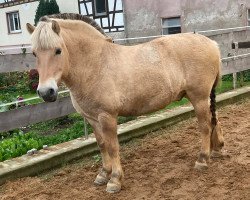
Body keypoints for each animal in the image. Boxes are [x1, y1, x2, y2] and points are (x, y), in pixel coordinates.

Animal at [26, 13, 225, 193]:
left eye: (58, 50)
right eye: (34, 53)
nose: (46, 92)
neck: (95, 64)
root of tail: (211, 44)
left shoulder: (107, 117)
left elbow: (113, 147)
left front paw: (114, 180)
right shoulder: (92, 118)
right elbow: (102, 145)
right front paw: (103, 174)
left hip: (199, 98)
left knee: (205, 126)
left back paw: (202, 160)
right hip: (205, 98)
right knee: (215, 119)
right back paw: (217, 150)